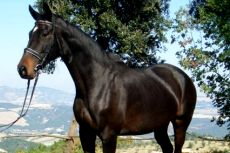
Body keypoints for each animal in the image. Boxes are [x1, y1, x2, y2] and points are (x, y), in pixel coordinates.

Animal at [17, 3, 196, 153]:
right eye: (29, 33)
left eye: (45, 34)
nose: (23, 69)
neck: (97, 84)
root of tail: (183, 77)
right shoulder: (86, 134)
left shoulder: (109, 136)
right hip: (160, 126)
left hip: (180, 124)